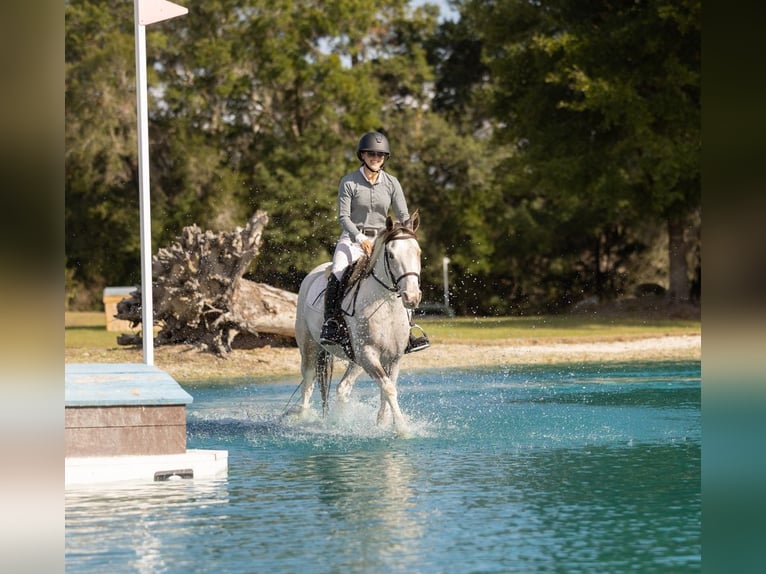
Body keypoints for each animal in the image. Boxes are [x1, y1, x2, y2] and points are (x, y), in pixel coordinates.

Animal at [293, 211, 422, 434]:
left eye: (418, 252)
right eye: (391, 255)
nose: (412, 297)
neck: (385, 303)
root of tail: (312, 274)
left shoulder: (394, 357)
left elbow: (387, 389)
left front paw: (382, 424)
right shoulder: (368, 354)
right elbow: (388, 388)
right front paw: (402, 428)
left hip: (355, 359)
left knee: (342, 388)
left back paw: (340, 421)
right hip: (311, 347)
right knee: (308, 383)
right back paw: (304, 419)